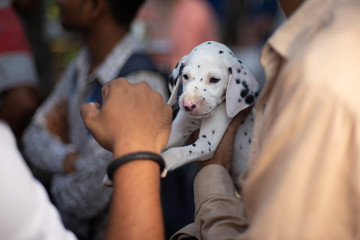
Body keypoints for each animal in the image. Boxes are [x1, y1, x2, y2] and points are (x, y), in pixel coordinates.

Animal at [162, 41, 260, 185]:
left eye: (214, 79)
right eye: (185, 76)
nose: (188, 105)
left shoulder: (207, 143)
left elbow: (180, 151)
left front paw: (166, 159)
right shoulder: (178, 129)